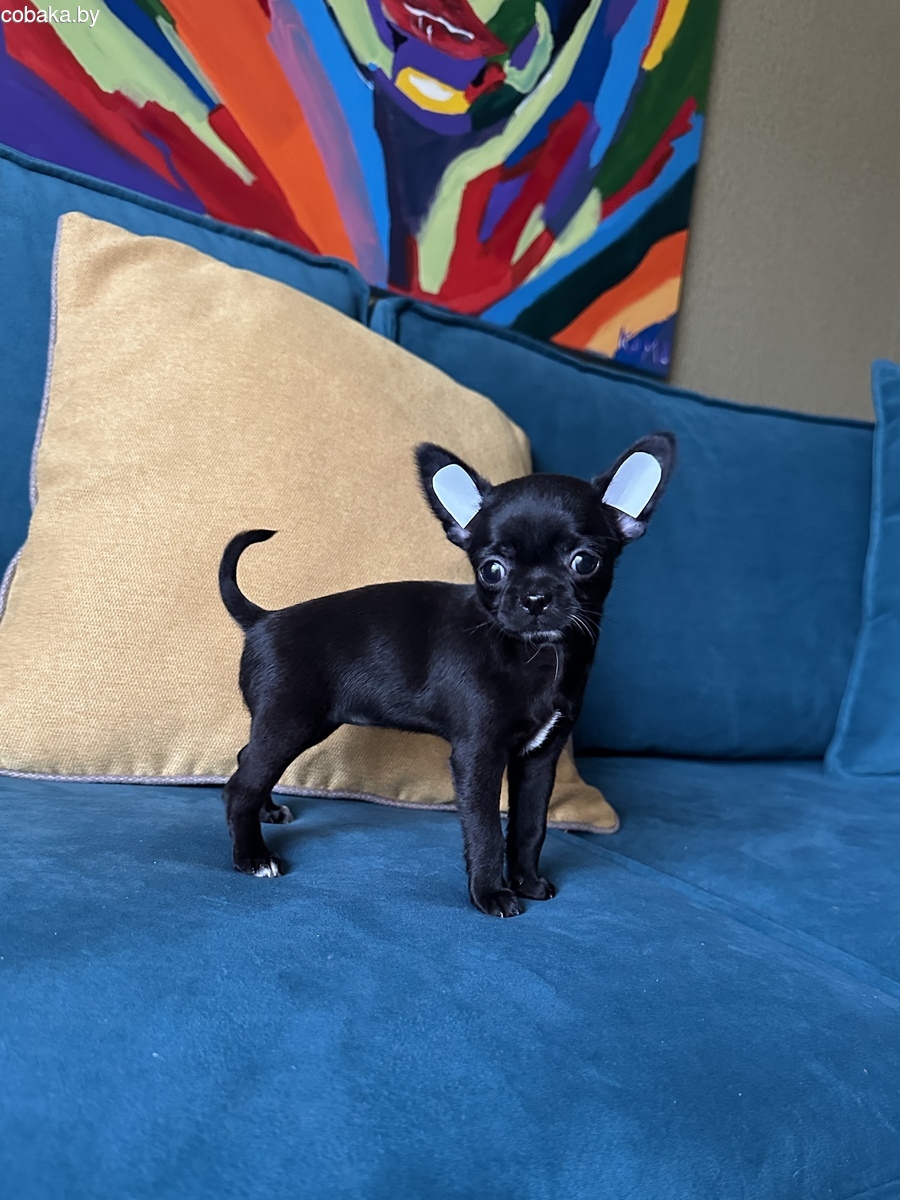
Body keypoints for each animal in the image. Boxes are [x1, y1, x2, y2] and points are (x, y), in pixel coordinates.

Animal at [218, 433, 675, 916]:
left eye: (585, 562)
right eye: (491, 570)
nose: (535, 598)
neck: (536, 654)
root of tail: (264, 619)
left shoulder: (539, 758)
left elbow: (531, 825)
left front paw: (527, 882)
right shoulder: (479, 757)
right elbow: (487, 829)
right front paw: (492, 893)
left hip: (293, 725)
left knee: (247, 759)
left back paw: (267, 811)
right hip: (291, 722)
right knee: (240, 785)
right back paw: (252, 857)